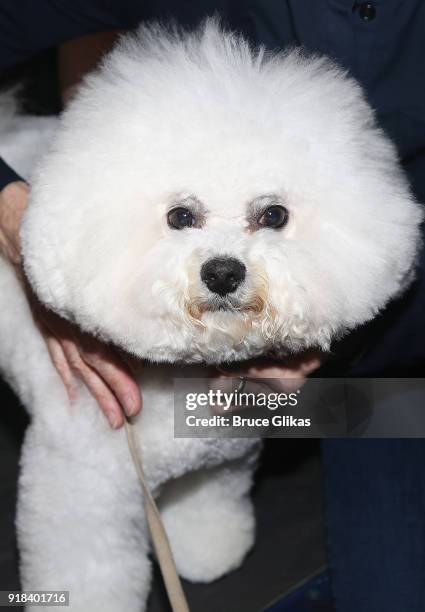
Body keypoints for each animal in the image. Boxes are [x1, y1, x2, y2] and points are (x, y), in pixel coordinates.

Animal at [0, 19, 420, 612]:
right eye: (180, 216)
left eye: (274, 215)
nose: (223, 272)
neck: (187, 375)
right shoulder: (81, 494)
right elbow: (87, 568)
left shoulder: (218, 464)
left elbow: (204, 506)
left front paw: (207, 551)